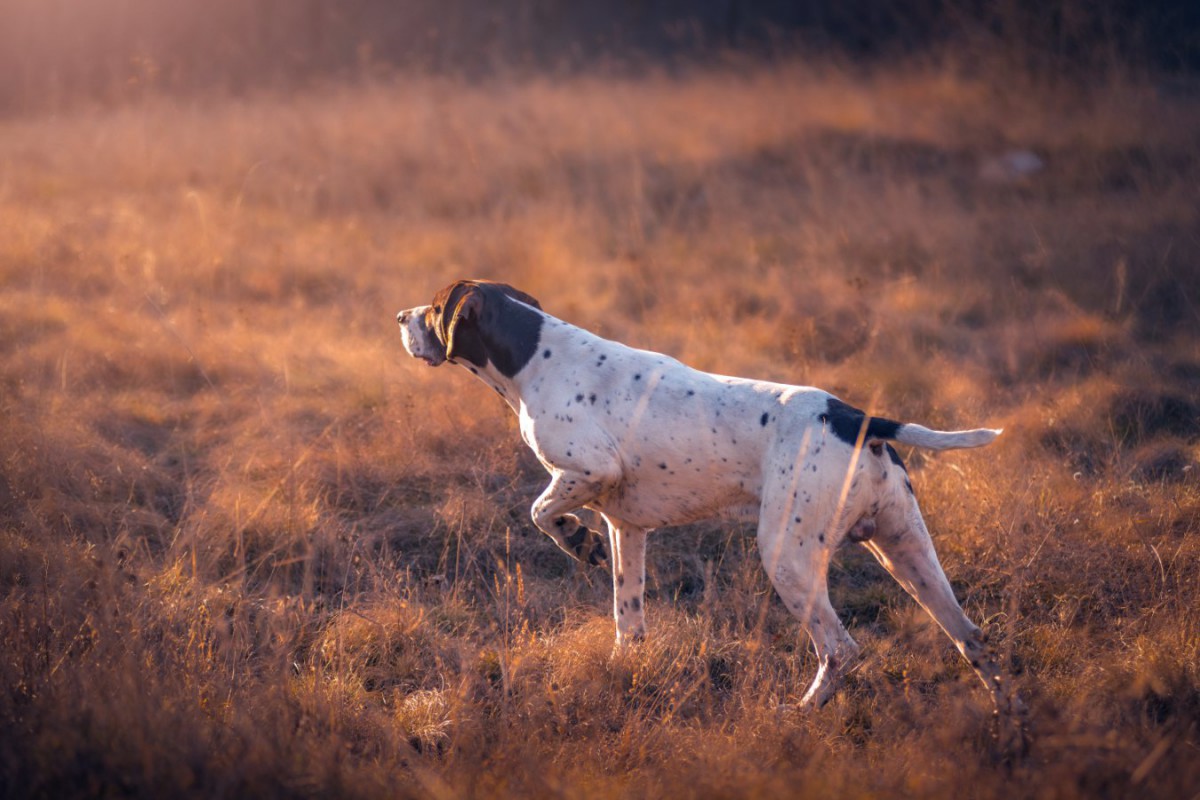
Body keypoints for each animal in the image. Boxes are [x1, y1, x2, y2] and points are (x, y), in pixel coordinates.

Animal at [400, 278, 1012, 710]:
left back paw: (799, 713)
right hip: (906, 551)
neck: (535, 356)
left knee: (841, 649)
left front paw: (576, 540)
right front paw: (626, 669)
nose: (400, 316)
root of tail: (855, 417)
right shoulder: (627, 527)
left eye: (434, 308)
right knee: (974, 640)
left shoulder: (588, 469)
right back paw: (1012, 726)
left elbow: (539, 512)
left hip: (788, 557)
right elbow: (628, 620)